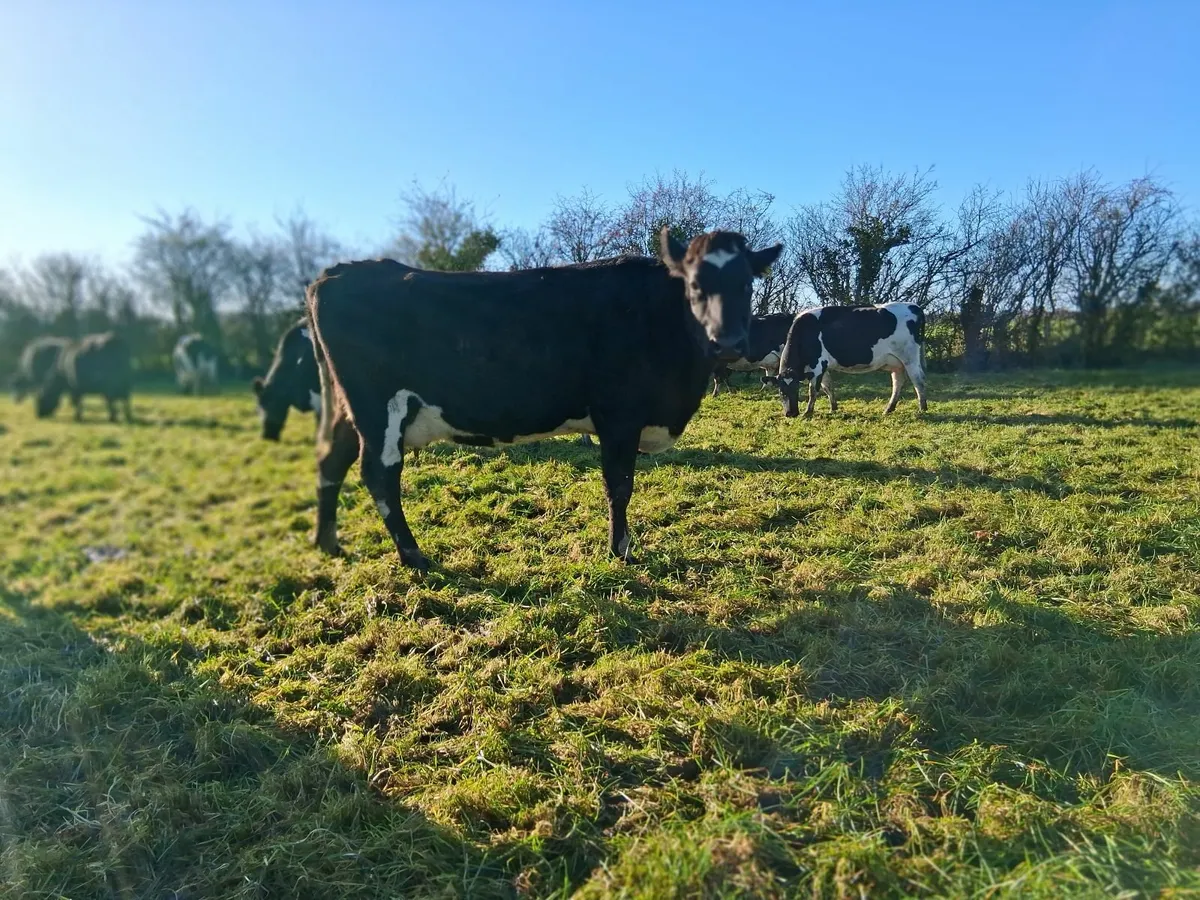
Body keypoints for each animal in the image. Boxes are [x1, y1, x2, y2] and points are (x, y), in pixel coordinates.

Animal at [306, 227, 783, 571]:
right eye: (695, 285)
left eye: (746, 285)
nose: (727, 343)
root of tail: (337, 273)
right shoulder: (619, 416)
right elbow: (619, 486)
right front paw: (621, 551)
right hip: (379, 409)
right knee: (379, 475)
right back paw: (414, 557)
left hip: (350, 409)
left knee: (331, 460)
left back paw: (328, 543)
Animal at [765, 302, 927, 418]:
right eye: (780, 391)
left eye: (796, 389)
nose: (791, 413)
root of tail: (915, 306)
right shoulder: (823, 366)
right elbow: (828, 386)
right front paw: (833, 408)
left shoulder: (817, 365)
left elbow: (813, 390)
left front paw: (808, 412)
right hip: (896, 363)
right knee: (898, 382)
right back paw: (889, 409)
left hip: (910, 358)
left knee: (918, 381)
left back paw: (922, 408)